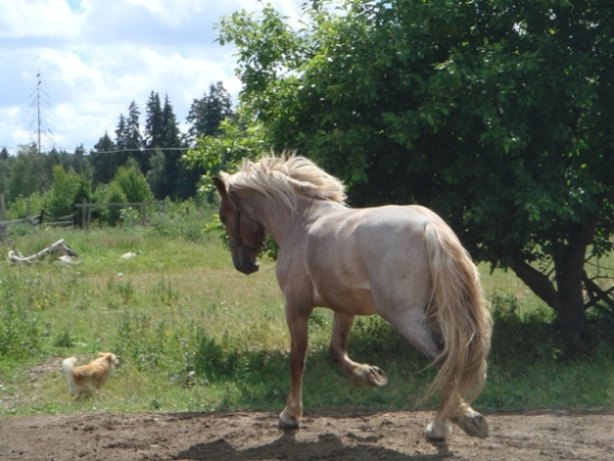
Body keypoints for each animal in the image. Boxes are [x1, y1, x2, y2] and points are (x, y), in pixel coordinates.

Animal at [214, 154, 494, 438]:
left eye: (224, 216)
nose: (244, 264)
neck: (300, 220)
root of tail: (431, 227)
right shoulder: (345, 307)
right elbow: (336, 351)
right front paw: (369, 375)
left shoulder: (296, 306)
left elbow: (297, 359)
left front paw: (290, 415)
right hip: (436, 312)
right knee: (453, 358)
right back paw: (464, 417)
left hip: (407, 318)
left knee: (444, 358)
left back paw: (440, 426)